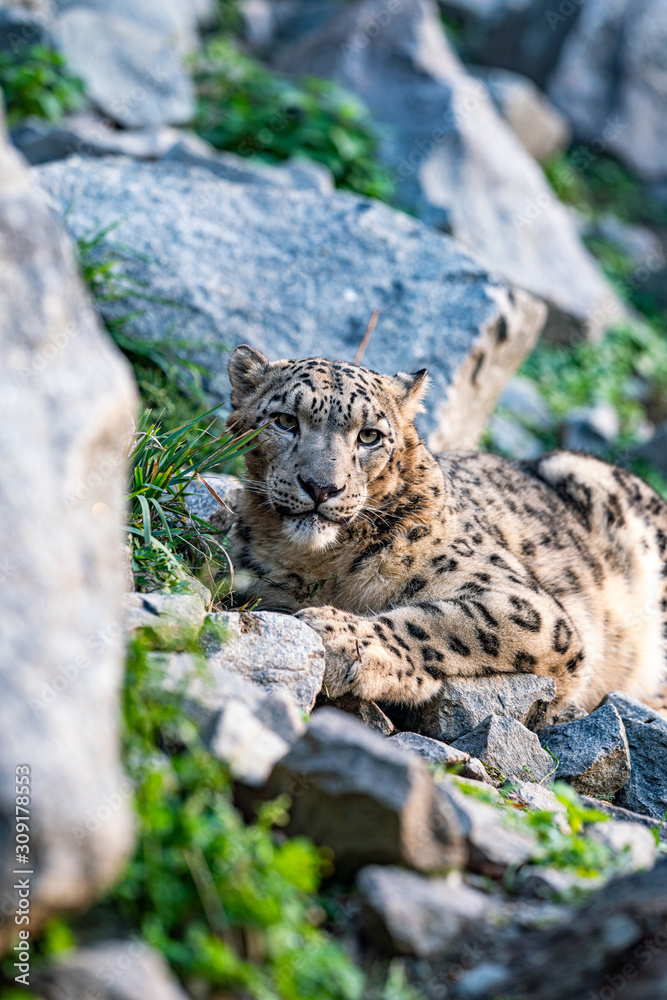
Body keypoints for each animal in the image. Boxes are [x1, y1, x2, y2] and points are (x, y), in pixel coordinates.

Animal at [225, 344, 667, 721]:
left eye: (369, 435)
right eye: (285, 421)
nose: (321, 487)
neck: (326, 564)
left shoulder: (526, 604)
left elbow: (446, 622)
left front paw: (340, 639)